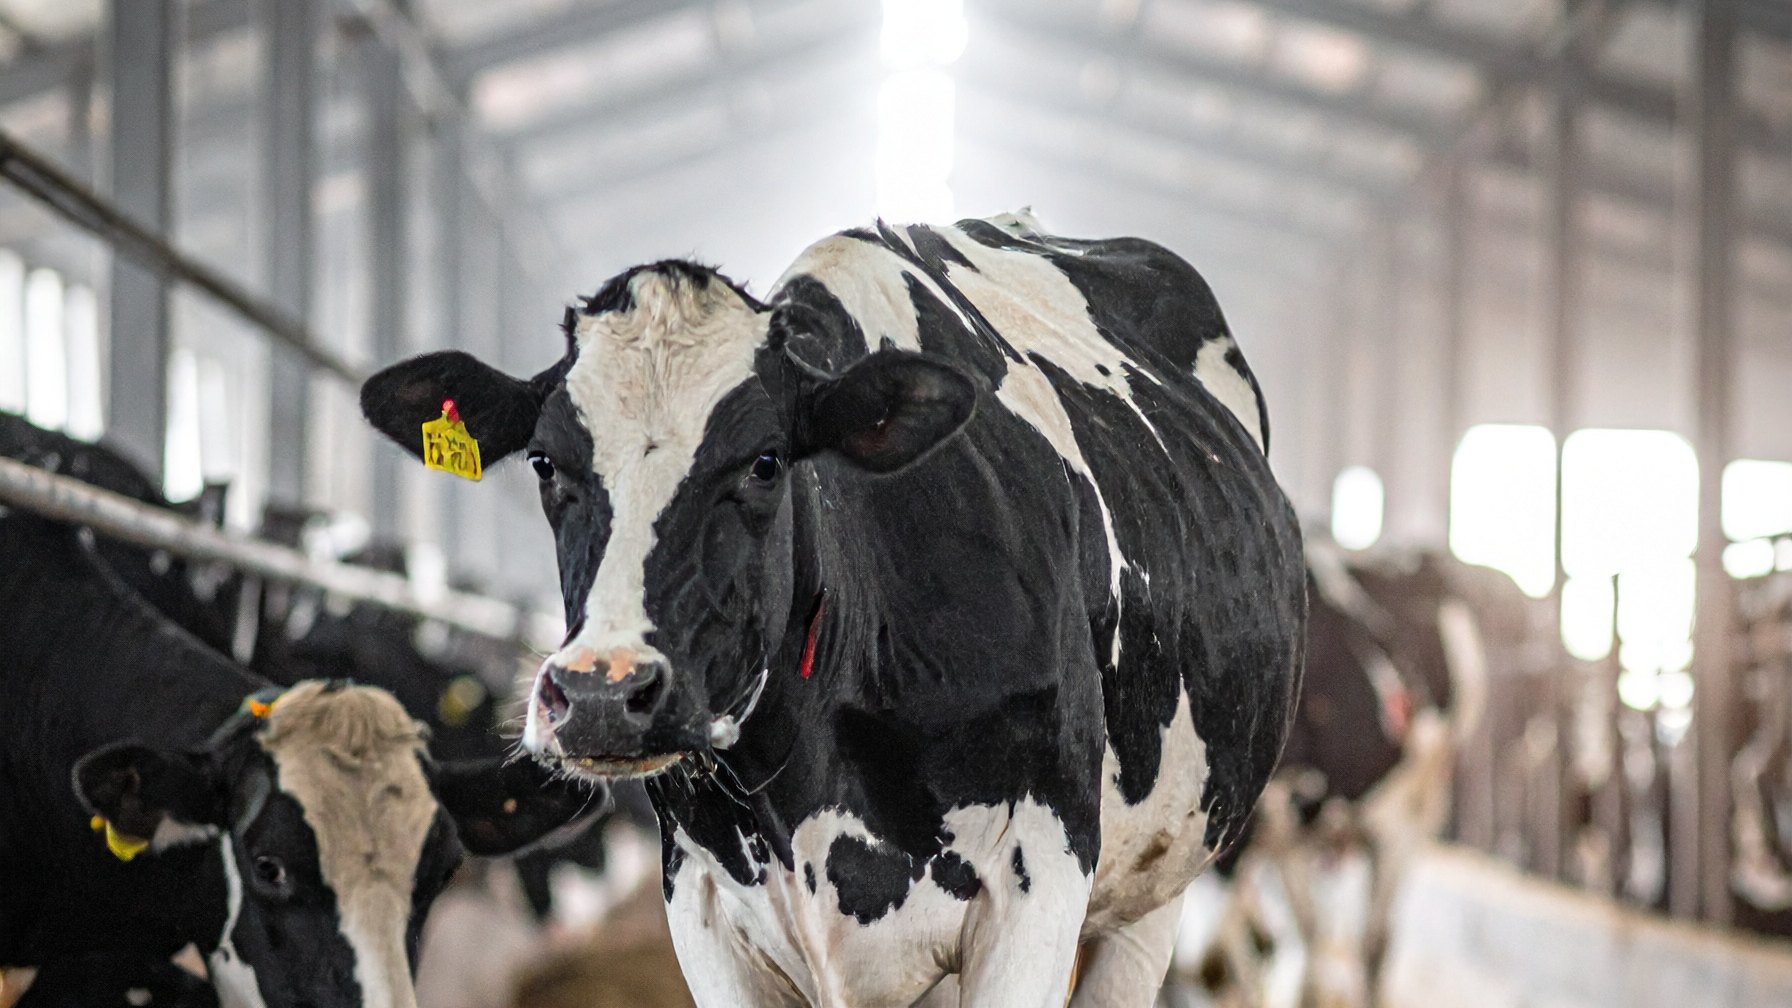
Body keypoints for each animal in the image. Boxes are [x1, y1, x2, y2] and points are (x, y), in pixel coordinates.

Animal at [361, 212, 1306, 1007]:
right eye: (546, 464)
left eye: (765, 461)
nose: (601, 695)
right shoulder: (702, 909)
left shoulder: (1039, 881)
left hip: (1161, 884)